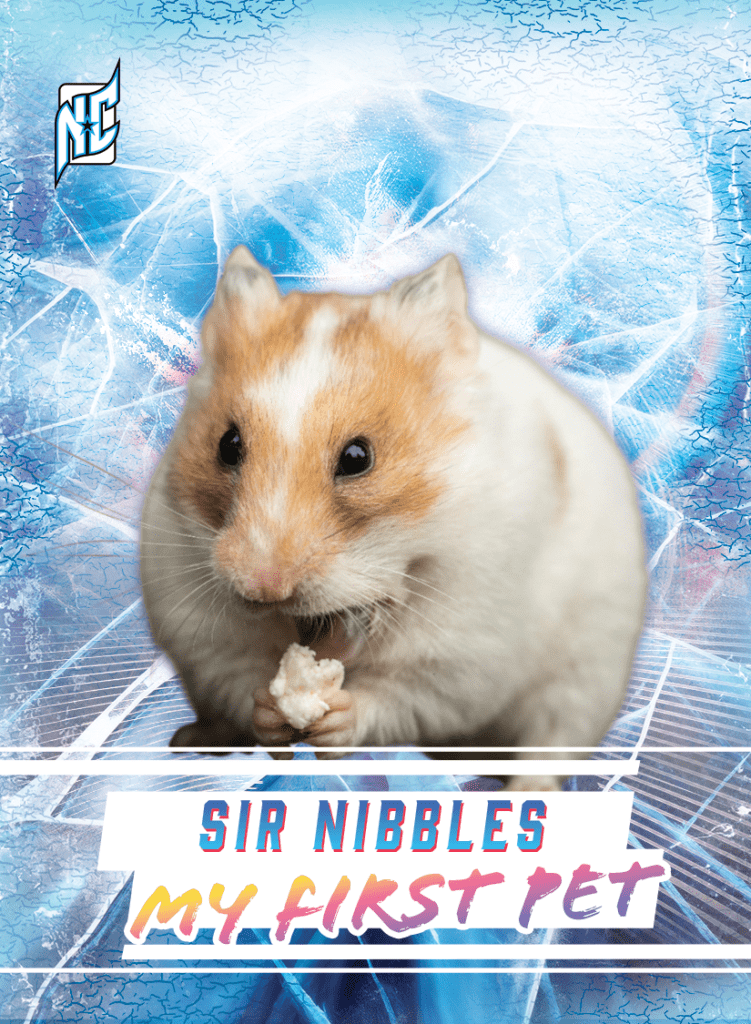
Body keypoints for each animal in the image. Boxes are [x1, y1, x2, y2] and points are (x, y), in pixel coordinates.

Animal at [139, 246, 646, 790]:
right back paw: (190, 741)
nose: (264, 589)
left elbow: (392, 697)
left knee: (550, 746)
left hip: (585, 678)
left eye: (358, 457)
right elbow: (242, 682)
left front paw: (333, 715)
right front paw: (274, 711)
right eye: (227, 444)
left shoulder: (458, 658)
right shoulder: (202, 636)